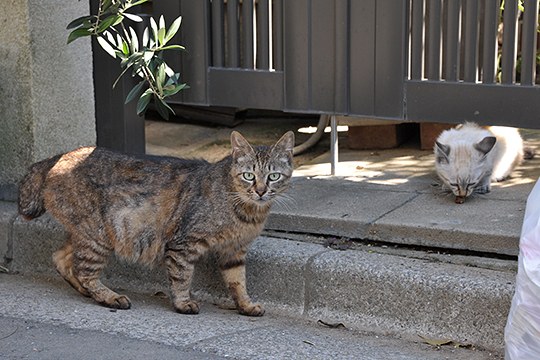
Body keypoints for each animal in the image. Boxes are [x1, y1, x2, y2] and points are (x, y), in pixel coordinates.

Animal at [19, 131, 296, 316]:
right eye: (249, 175)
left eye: (273, 176)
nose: (260, 191)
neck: (248, 213)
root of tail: (58, 156)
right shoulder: (184, 244)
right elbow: (182, 277)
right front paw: (183, 303)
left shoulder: (234, 251)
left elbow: (238, 282)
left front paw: (246, 305)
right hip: (99, 235)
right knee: (84, 270)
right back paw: (109, 297)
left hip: (86, 233)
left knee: (62, 259)